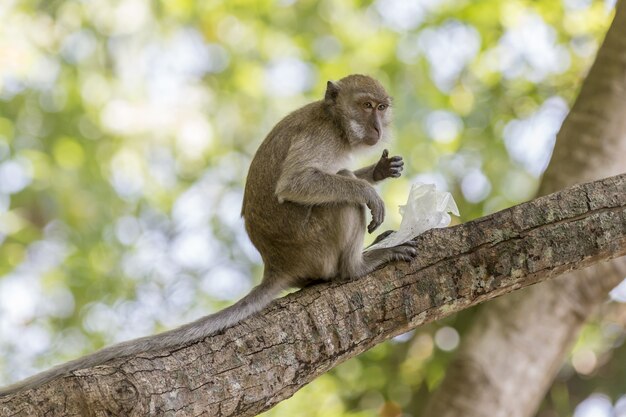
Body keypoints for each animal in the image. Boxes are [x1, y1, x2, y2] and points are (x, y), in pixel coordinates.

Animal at [0, 73, 414, 394]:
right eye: (366, 105)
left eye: (381, 107)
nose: (377, 127)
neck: (336, 123)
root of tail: (278, 264)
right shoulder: (320, 139)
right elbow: (297, 184)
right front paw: (368, 192)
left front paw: (378, 171)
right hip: (314, 243)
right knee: (342, 198)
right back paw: (357, 267)